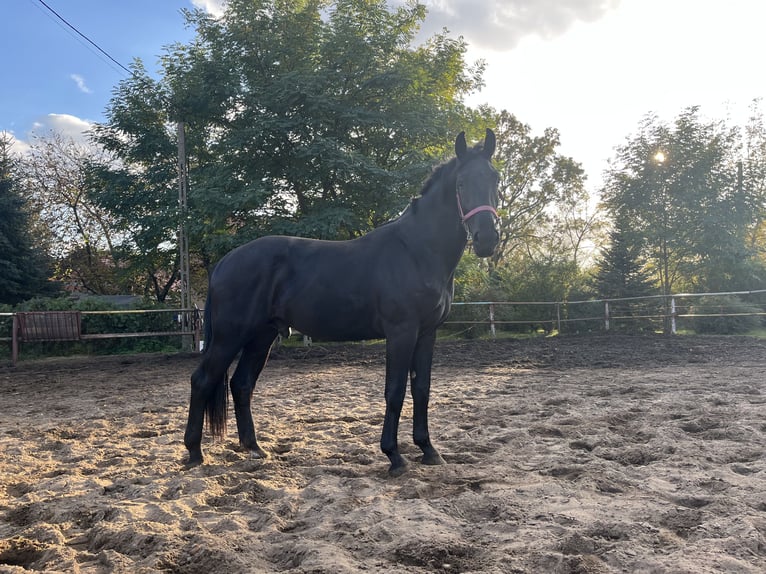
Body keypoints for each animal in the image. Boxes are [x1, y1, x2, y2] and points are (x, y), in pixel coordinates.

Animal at [187, 130, 504, 476]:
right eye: (460, 184)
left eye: (496, 179)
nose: (487, 239)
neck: (416, 251)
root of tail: (226, 262)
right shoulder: (401, 332)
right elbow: (394, 391)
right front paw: (394, 456)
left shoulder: (427, 333)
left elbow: (422, 389)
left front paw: (429, 450)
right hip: (231, 336)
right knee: (202, 380)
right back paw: (194, 453)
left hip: (262, 336)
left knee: (242, 383)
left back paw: (254, 448)